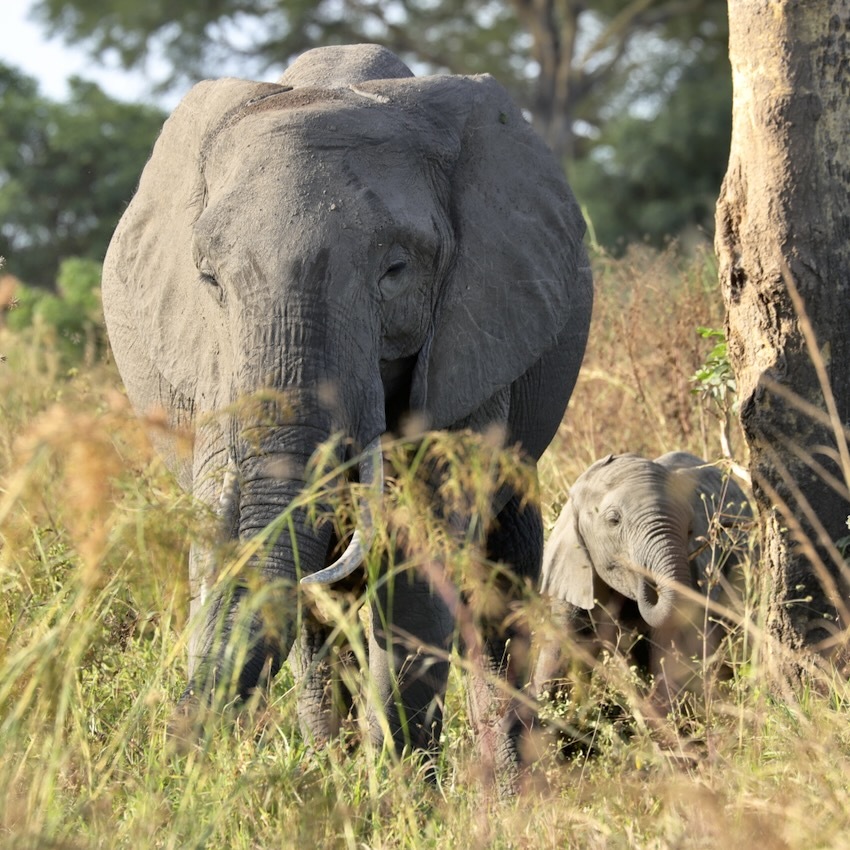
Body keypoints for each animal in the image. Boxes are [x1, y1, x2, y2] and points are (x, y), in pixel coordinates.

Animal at [101, 44, 588, 780]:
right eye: (210, 280)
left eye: (395, 270)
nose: (178, 757)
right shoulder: (211, 366)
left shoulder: (474, 331)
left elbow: (421, 557)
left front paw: (404, 785)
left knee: (498, 570)